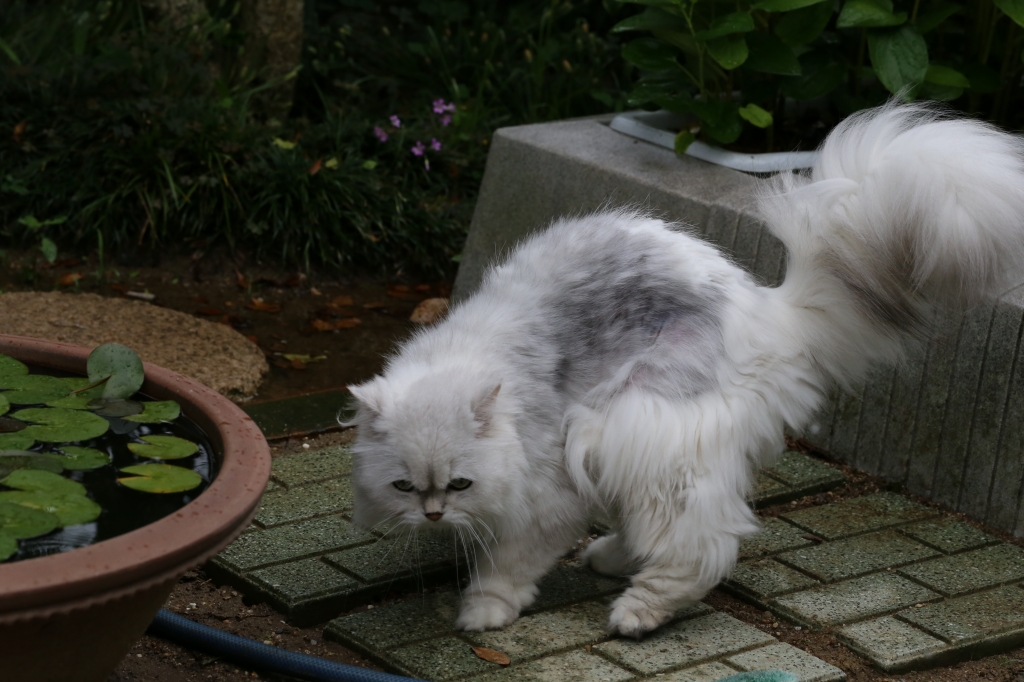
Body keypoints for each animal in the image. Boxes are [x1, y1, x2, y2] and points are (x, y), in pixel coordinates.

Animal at [342, 103, 1024, 634]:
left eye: (458, 484)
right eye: (404, 486)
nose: (433, 515)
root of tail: (769, 310)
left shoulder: (549, 492)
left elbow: (509, 562)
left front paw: (483, 610)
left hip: (631, 423)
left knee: (700, 547)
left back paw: (638, 612)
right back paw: (611, 558)